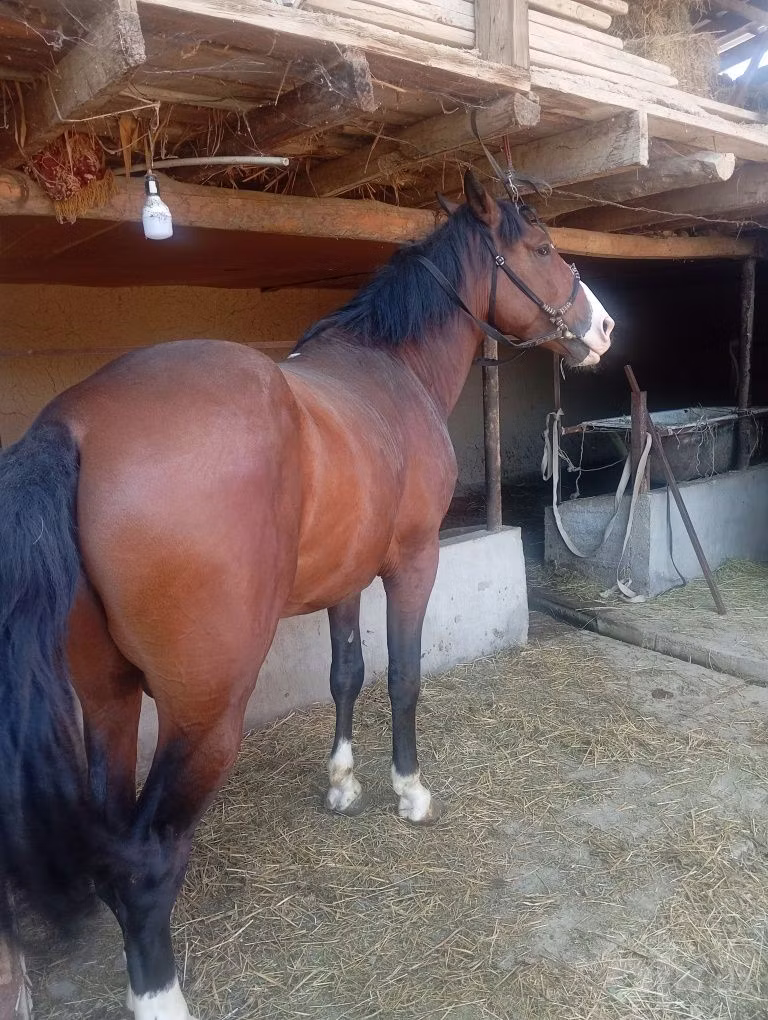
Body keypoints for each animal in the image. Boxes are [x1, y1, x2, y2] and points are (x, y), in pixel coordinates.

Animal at [0, 170, 613, 1020]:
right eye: (546, 248)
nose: (604, 328)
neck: (392, 372)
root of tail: (75, 427)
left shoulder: (344, 580)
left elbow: (346, 675)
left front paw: (342, 782)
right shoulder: (413, 564)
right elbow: (404, 679)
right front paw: (408, 790)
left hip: (110, 700)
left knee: (114, 833)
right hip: (204, 714)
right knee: (147, 860)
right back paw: (159, 993)